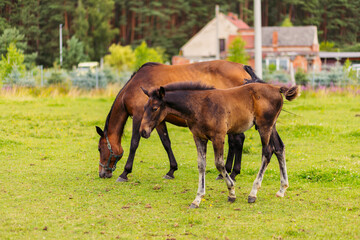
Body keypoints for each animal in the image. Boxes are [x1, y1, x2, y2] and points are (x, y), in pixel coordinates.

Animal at [95, 60, 260, 182]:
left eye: (99, 149)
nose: (102, 173)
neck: (134, 87)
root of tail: (243, 67)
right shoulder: (158, 121)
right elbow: (166, 143)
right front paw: (171, 170)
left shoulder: (138, 116)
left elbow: (134, 143)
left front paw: (125, 172)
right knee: (235, 141)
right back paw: (225, 172)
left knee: (237, 140)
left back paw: (233, 173)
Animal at [139, 82, 300, 206]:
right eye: (144, 107)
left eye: (154, 108)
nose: (143, 131)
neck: (200, 105)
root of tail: (276, 88)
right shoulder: (199, 137)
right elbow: (201, 165)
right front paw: (197, 199)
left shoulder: (218, 136)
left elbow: (219, 164)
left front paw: (232, 193)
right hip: (271, 126)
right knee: (279, 148)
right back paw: (282, 189)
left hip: (264, 126)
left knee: (267, 152)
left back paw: (253, 193)